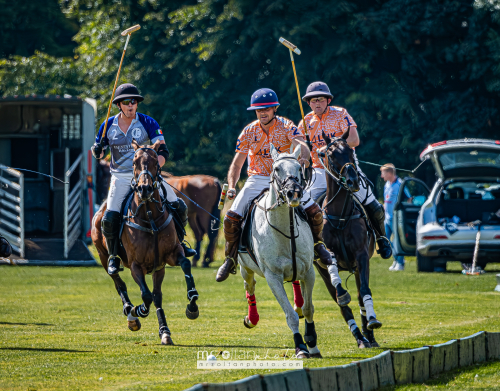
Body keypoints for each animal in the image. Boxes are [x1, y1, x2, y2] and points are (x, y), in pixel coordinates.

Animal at [91, 142, 198, 346]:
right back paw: (131, 314)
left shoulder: (170, 255)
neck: (150, 218)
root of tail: (101, 209)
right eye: (134, 162)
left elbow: (185, 264)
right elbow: (145, 295)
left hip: (158, 268)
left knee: (157, 295)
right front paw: (138, 310)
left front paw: (192, 304)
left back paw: (165, 331)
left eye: (156, 162)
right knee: (119, 282)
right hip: (102, 256)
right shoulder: (136, 265)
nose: (145, 189)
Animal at [238, 144, 320, 358]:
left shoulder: (309, 271)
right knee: (249, 285)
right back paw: (252, 318)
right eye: (276, 169)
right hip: (244, 267)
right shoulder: (272, 276)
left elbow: (309, 309)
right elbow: (290, 316)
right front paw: (301, 347)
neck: (286, 231)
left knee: (296, 286)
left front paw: (312, 342)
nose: (294, 194)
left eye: (299, 168)